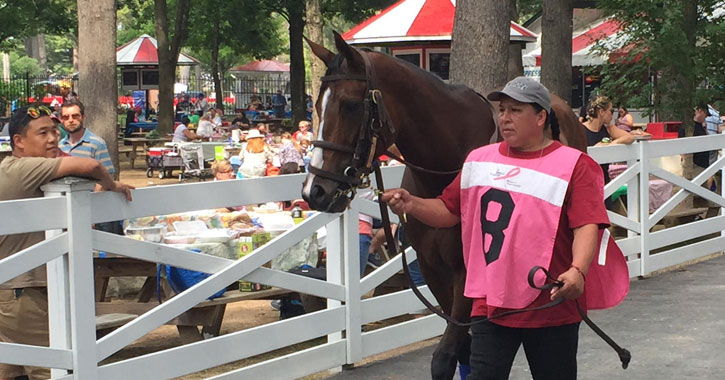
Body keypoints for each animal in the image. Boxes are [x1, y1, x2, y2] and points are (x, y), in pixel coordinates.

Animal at [302, 33, 588, 380]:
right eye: (318, 105)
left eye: (351, 105)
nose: (315, 191)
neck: (447, 164)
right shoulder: (432, 268)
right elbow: (464, 349)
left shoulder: (467, 273)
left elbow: (446, 355)